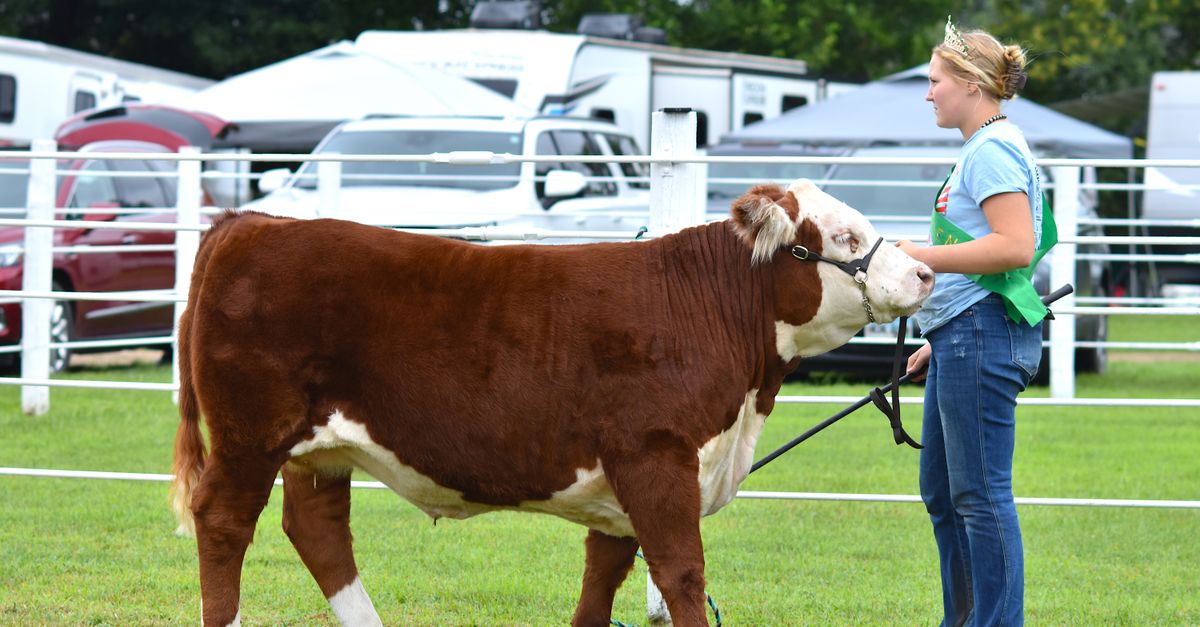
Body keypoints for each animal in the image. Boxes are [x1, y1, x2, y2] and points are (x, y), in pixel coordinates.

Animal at [170, 178, 933, 626]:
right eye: (842, 237)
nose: (926, 272)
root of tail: (252, 222)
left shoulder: (625, 483)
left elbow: (605, 577)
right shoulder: (654, 454)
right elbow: (681, 572)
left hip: (318, 446)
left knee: (319, 531)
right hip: (250, 433)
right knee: (225, 523)